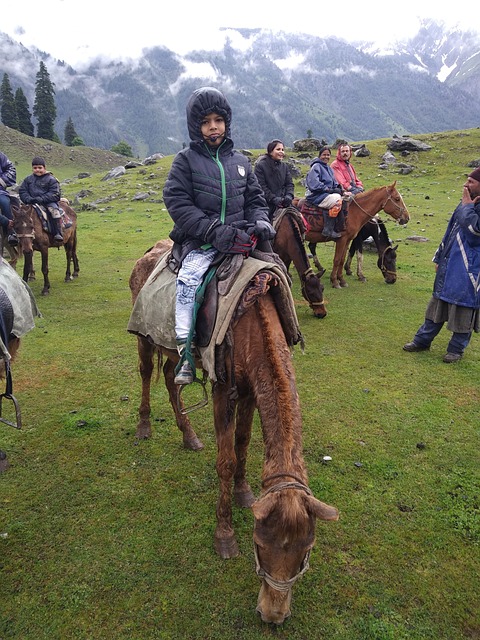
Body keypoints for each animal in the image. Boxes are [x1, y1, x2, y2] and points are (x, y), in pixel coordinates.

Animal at [127, 241, 338, 624]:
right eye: (259, 545)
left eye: (306, 552)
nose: (272, 615)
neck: (252, 323)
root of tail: (150, 252)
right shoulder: (224, 390)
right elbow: (224, 460)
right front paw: (224, 535)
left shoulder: (252, 390)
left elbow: (242, 443)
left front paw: (244, 493)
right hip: (146, 340)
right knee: (147, 371)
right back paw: (144, 425)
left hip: (174, 350)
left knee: (170, 377)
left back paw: (189, 435)